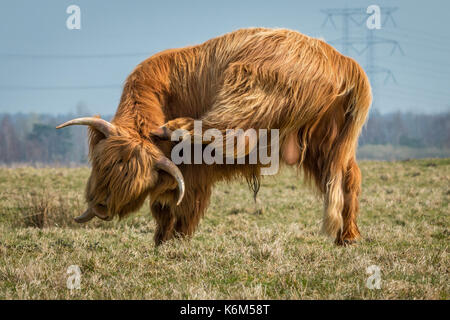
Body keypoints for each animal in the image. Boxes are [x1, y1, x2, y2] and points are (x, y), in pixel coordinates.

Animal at [58, 28, 370, 246]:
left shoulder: (192, 170)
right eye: (104, 166)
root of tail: (340, 59)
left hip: (249, 87)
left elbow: (180, 205)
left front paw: (173, 241)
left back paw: (174, 127)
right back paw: (348, 236)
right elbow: (164, 205)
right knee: (348, 177)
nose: (101, 206)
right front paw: (160, 241)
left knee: (228, 131)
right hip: (326, 141)